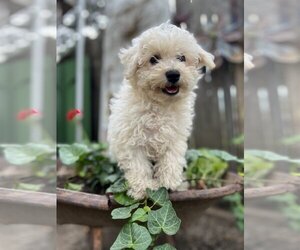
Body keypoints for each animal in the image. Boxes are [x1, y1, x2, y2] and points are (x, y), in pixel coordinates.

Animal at [106, 23, 214, 199]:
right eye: (153, 59)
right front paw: (142, 188)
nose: (173, 73)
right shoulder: (131, 141)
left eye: (181, 58)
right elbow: (138, 165)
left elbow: (172, 157)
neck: (160, 106)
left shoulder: (174, 137)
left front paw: (169, 182)